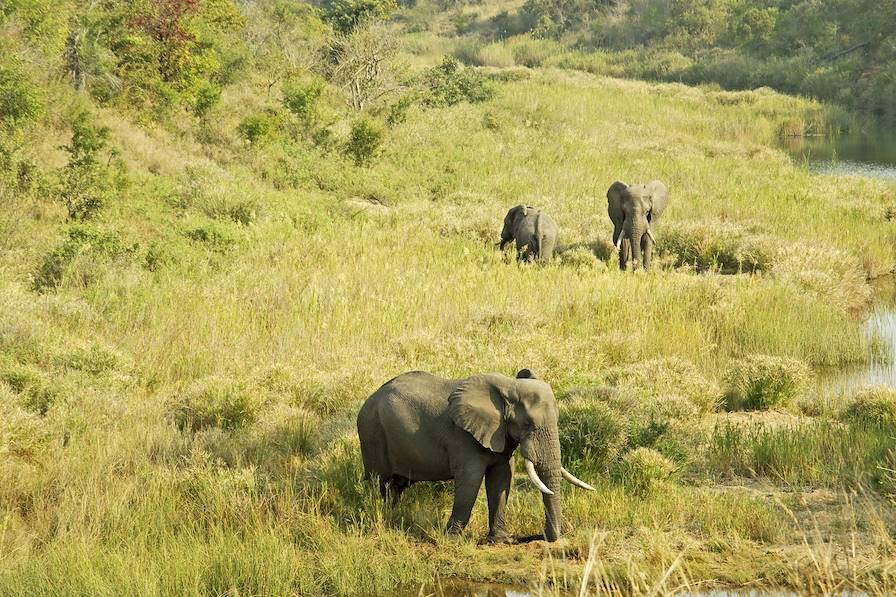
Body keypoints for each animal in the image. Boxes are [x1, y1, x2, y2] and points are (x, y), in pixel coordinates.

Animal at [356, 368, 596, 540]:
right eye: (528, 424)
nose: (543, 536)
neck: (508, 388)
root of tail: (368, 399)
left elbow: (501, 479)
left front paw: (501, 540)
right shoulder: (464, 437)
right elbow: (470, 480)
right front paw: (451, 539)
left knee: (395, 487)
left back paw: (391, 520)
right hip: (372, 432)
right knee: (379, 482)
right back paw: (376, 518)